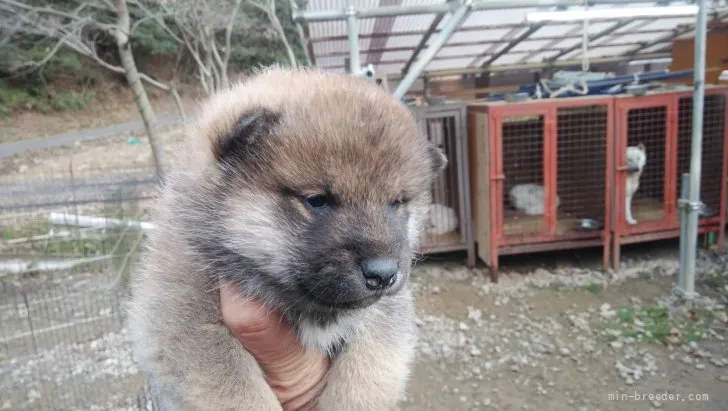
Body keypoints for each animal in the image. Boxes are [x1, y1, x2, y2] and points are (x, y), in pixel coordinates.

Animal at [126, 68, 444, 411]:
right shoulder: (185, 322)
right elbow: (237, 392)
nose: (384, 274)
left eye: (397, 203)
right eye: (317, 201)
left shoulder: (384, 316)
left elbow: (364, 375)